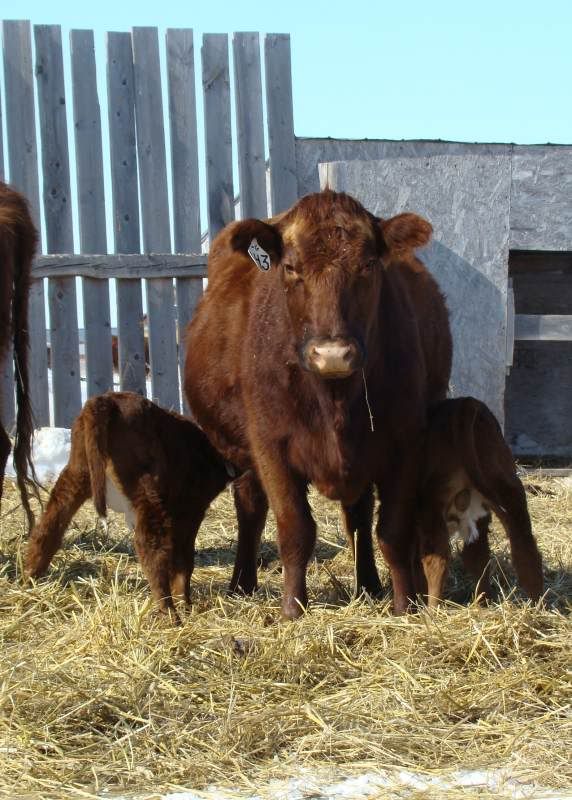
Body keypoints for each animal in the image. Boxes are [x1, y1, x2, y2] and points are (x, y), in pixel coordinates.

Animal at [25, 392, 232, 622]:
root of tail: (106, 401)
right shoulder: (190, 510)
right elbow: (184, 558)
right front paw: (185, 602)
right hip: (147, 486)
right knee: (149, 545)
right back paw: (169, 612)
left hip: (78, 472)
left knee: (50, 523)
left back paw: (29, 577)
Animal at [184, 190, 452, 619]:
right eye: (291, 267)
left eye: (368, 265)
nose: (332, 354)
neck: (334, 398)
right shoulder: (271, 446)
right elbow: (295, 529)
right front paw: (293, 609)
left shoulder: (406, 442)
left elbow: (391, 530)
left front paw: (404, 605)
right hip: (242, 451)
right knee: (251, 505)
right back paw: (242, 584)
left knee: (358, 515)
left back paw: (368, 585)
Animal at [413, 396, 543, 606]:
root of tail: (465, 402)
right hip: (507, 487)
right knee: (520, 548)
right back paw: (535, 604)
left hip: (431, 503)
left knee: (437, 560)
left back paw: (432, 609)